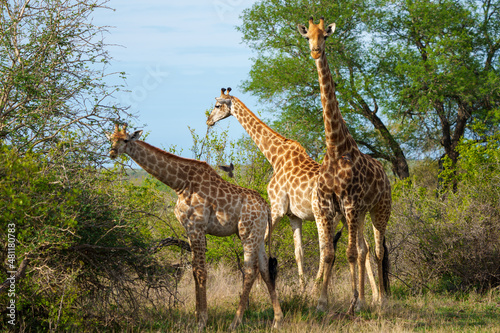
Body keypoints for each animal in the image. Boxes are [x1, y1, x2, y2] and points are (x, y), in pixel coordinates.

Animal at [106, 123, 284, 328]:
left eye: (125, 139)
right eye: (111, 139)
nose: (112, 152)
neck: (180, 184)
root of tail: (266, 207)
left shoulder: (197, 227)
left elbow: (201, 271)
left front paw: (202, 320)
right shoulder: (188, 229)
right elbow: (193, 271)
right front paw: (197, 316)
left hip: (247, 233)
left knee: (249, 271)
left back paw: (235, 321)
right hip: (259, 234)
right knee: (264, 269)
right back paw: (277, 320)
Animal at [208, 87, 348, 308]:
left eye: (216, 105)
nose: (208, 121)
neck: (275, 156)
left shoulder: (277, 208)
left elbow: (263, 240)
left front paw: (258, 286)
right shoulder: (293, 215)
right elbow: (298, 253)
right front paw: (301, 288)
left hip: (325, 216)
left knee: (326, 250)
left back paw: (319, 290)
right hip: (346, 216)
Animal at [298, 15, 392, 312]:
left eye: (325, 36)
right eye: (308, 37)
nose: (316, 51)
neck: (335, 147)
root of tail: (386, 174)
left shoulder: (350, 203)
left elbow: (349, 253)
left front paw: (356, 303)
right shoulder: (329, 206)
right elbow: (330, 254)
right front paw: (322, 303)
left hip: (380, 209)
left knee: (377, 250)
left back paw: (381, 300)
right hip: (360, 214)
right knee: (364, 250)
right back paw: (366, 298)